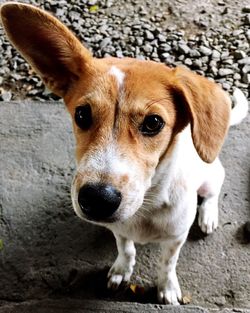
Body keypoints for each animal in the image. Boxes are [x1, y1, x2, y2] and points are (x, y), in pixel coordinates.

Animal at [0, 3, 248, 304]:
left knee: (212, 192)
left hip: (210, 176)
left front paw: (167, 287)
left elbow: (168, 263)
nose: (97, 199)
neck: (146, 206)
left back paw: (208, 216)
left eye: (154, 123)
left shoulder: (175, 238)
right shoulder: (119, 230)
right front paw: (121, 271)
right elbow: (126, 248)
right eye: (82, 115)